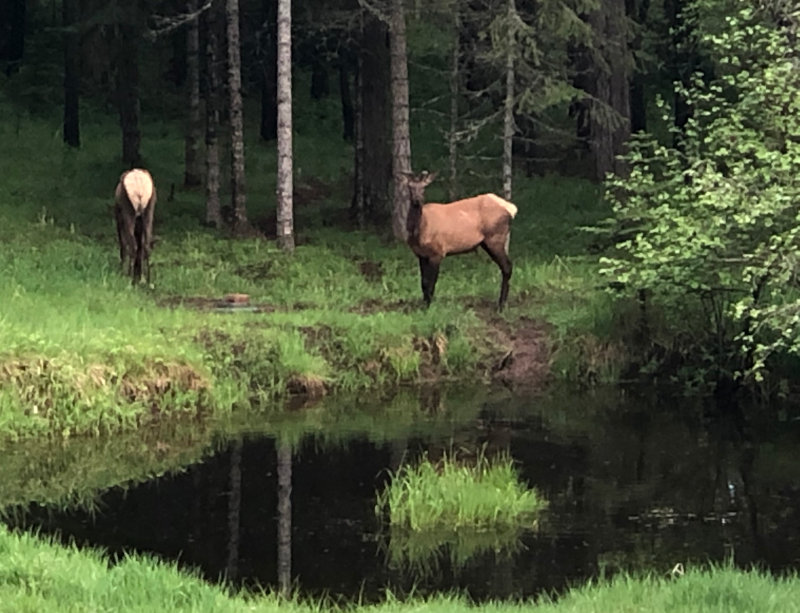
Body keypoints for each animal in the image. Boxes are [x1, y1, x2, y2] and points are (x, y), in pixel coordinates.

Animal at [400, 170, 520, 308]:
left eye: (424, 187)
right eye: (410, 187)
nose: (417, 200)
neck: (419, 232)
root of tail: (511, 208)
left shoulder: (438, 252)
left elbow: (431, 282)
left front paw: (429, 306)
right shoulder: (421, 254)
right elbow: (423, 282)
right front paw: (424, 304)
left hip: (495, 238)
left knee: (507, 266)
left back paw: (501, 305)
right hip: (487, 242)